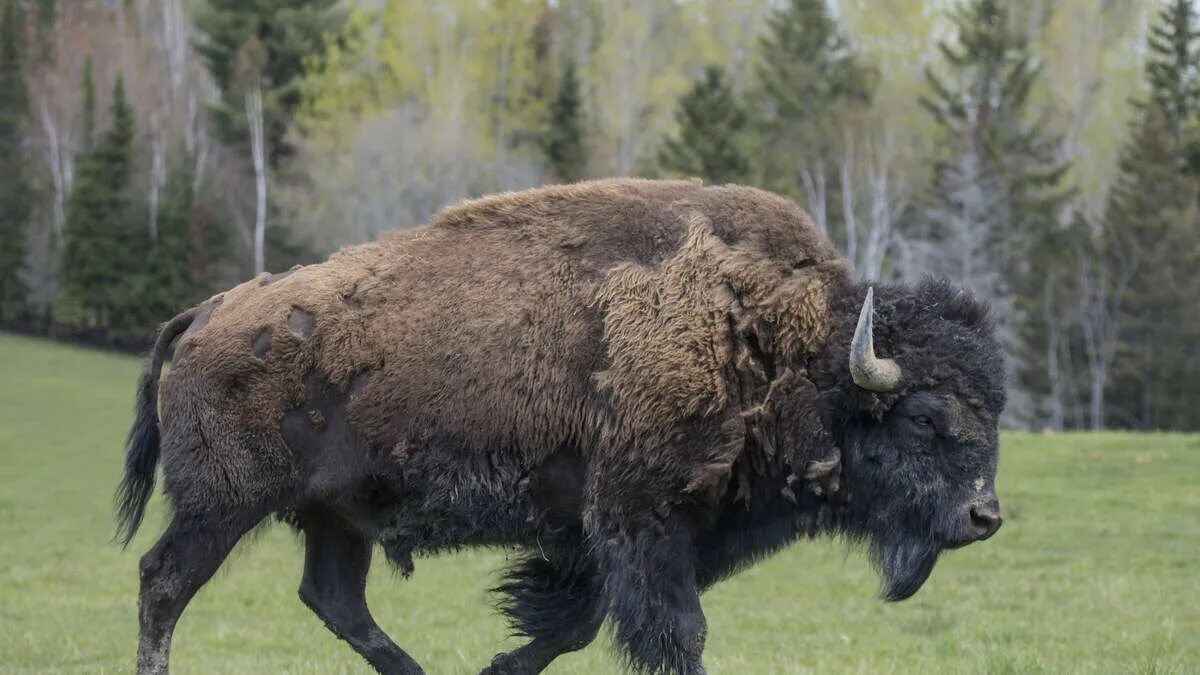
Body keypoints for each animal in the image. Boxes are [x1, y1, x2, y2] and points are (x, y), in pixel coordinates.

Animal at [119, 178, 1003, 672]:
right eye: (926, 416)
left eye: (995, 409)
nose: (984, 515)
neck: (781, 345)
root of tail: (210, 310)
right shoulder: (642, 521)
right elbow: (676, 633)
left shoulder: (621, 538)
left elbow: (576, 624)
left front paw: (498, 667)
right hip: (222, 505)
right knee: (164, 583)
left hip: (335, 514)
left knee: (334, 599)